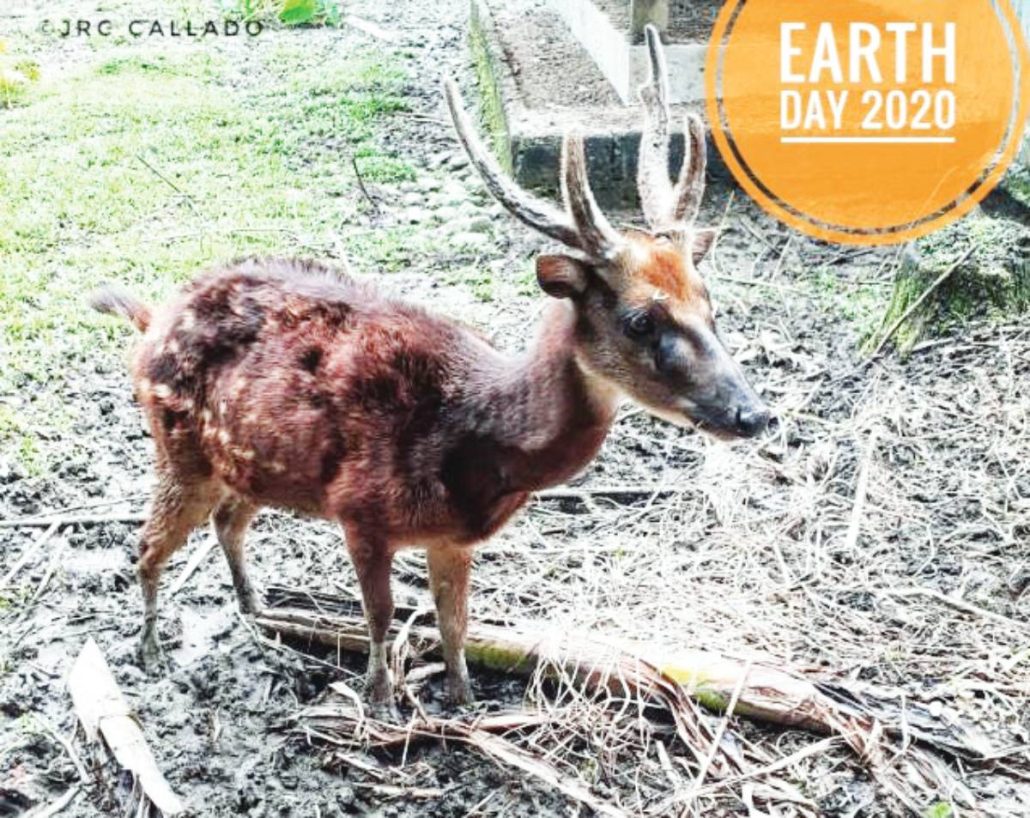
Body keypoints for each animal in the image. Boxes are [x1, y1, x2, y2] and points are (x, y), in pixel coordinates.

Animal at [91, 27, 769, 712]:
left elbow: (456, 624)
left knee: (227, 523)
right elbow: (382, 616)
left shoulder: (453, 539)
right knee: (146, 546)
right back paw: (150, 653)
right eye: (639, 321)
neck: (474, 441)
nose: (753, 414)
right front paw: (380, 702)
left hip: (245, 465)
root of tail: (151, 320)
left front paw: (464, 703)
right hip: (178, 448)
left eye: (710, 302)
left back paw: (257, 610)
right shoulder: (359, 510)